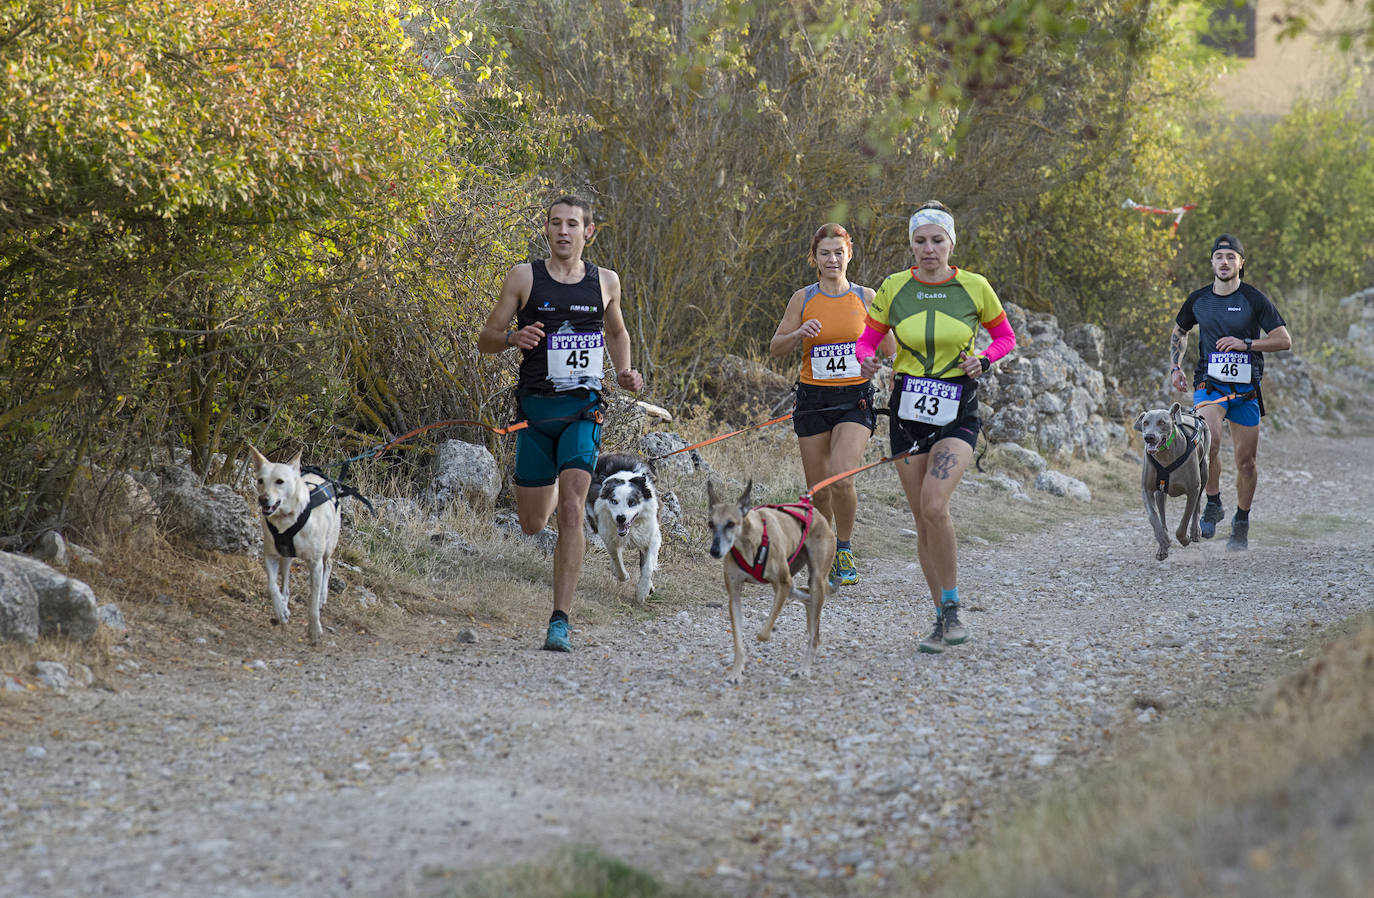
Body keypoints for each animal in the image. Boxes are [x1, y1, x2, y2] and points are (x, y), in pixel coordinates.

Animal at [708, 486, 835, 683]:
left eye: (730, 524)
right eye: (710, 524)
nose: (714, 550)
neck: (750, 542)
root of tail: (818, 515)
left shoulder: (783, 583)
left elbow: (763, 634)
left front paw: (767, 632)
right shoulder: (735, 596)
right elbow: (738, 641)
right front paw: (736, 671)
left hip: (815, 579)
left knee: (815, 635)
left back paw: (804, 668)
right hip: (791, 579)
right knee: (805, 595)